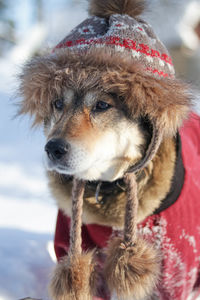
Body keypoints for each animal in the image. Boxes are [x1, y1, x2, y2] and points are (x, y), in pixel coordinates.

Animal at [18, 0, 199, 300]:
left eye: (102, 105)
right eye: (57, 103)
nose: (53, 148)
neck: (109, 189)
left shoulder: (174, 277)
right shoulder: (78, 251)